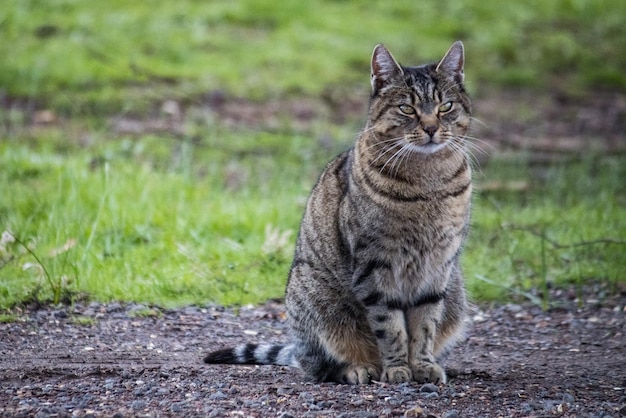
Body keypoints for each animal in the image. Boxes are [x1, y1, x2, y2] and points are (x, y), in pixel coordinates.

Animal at [202, 40, 470, 384]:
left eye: (445, 107)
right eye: (406, 109)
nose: (432, 128)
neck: (428, 180)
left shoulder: (438, 267)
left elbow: (424, 324)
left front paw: (422, 365)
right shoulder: (374, 264)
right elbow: (391, 326)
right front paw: (397, 368)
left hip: (456, 292)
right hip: (314, 298)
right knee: (321, 365)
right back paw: (360, 369)